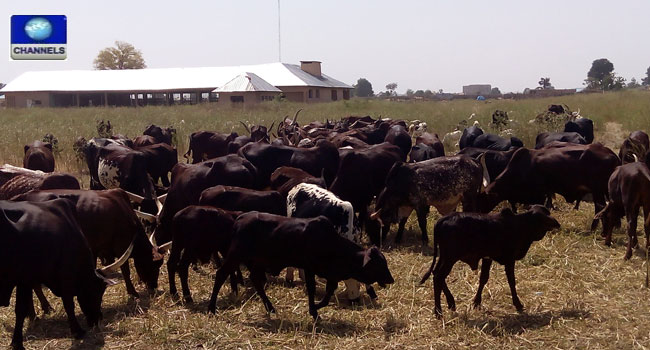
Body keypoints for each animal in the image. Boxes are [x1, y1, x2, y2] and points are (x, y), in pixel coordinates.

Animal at [0, 200, 115, 350]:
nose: (97, 319)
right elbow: (68, 304)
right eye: (97, 291)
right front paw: (78, 331)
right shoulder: (61, 274)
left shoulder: (26, 281)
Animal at [13, 189, 163, 298]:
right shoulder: (121, 245)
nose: (153, 286)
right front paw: (133, 292)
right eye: (154, 265)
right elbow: (125, 269)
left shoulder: (97, 248)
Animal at [206, 212, 394, 318]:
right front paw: (314, 311)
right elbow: (312, 289)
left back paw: (271, 308)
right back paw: (211, 308)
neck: (332, 244)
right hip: (235, 256)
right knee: (221, 274)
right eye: (379, 265)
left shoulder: (329, 275)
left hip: (256, 262)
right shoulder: (310, 268)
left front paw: (316, 308)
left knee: (256, 281)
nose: (391, 280)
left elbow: (328, 293)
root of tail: (240, 218)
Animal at [418, 205, 560, 318]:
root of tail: (442, 219)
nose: (557, 223)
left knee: (436, 274)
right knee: (438, 277)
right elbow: (511, 282)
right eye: (542, 217)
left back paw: (451, 303)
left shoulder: (487, 258)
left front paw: (476, 302)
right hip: (450, 258)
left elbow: (483, 279)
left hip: (444, 257)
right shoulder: (509, 259)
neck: (519, 225)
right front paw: (518, 304)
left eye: (548, 213)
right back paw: (438, 312)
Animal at [480, 142, 616, 232]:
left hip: (598, 190)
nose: (479, 213)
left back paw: (594, 230)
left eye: (482, 198)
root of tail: (612, 154)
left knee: (600, 207)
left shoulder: (539, 194)